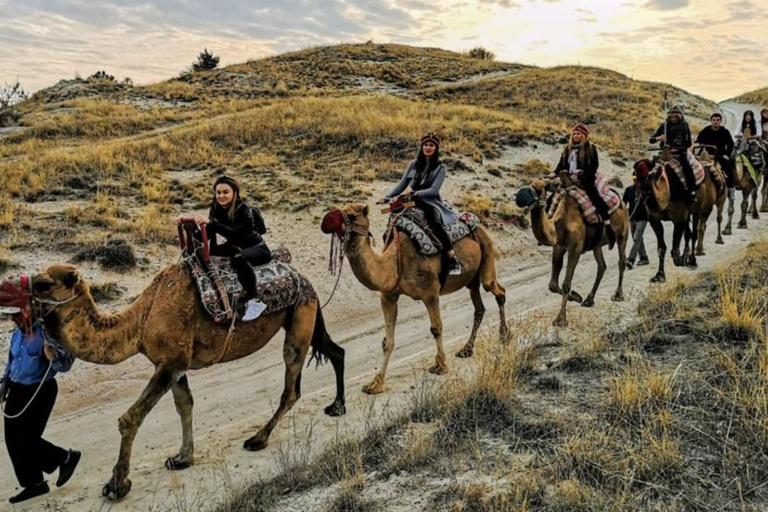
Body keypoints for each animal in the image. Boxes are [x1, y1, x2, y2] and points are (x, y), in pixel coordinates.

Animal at [28, 264, 344, 500]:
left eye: (42, 284)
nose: (23, 306)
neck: (142, 320)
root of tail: (304, 278)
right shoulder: (174, 364)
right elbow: (185, 405)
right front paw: (182, 458)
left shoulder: (170, 363)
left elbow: (131, 417)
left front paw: (116, 485)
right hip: (306, 315)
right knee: (335, 351)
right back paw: (337, 406)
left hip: (300, 315)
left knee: (291, 387)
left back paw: (258, 438)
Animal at [320, 204, 508, 396]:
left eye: (351, 215)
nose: (325, 222)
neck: (394, 263)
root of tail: (478, 223)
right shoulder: (388, 296)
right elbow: (387, 341)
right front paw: (375, 384)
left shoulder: (430, 291)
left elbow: (436, 328)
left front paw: (440, 366)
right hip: (471, 279)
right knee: (479, 307)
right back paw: (466, 350)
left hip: (486, 254)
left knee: (498, 291)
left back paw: (503, 336)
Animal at [512, 175, 628, 328]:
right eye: (529, 184)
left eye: (540, 189)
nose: (520, 197)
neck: (560, 224)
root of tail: (622, 203)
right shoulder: (558, 247)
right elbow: (552, 285)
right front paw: (577, 297)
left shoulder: (575, 248)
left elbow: (566, 284)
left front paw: (560, 319)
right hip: (597, 244)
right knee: (602, 266)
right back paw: (589, 300)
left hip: (623, 234)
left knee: (621, 261)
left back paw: (618, 295)